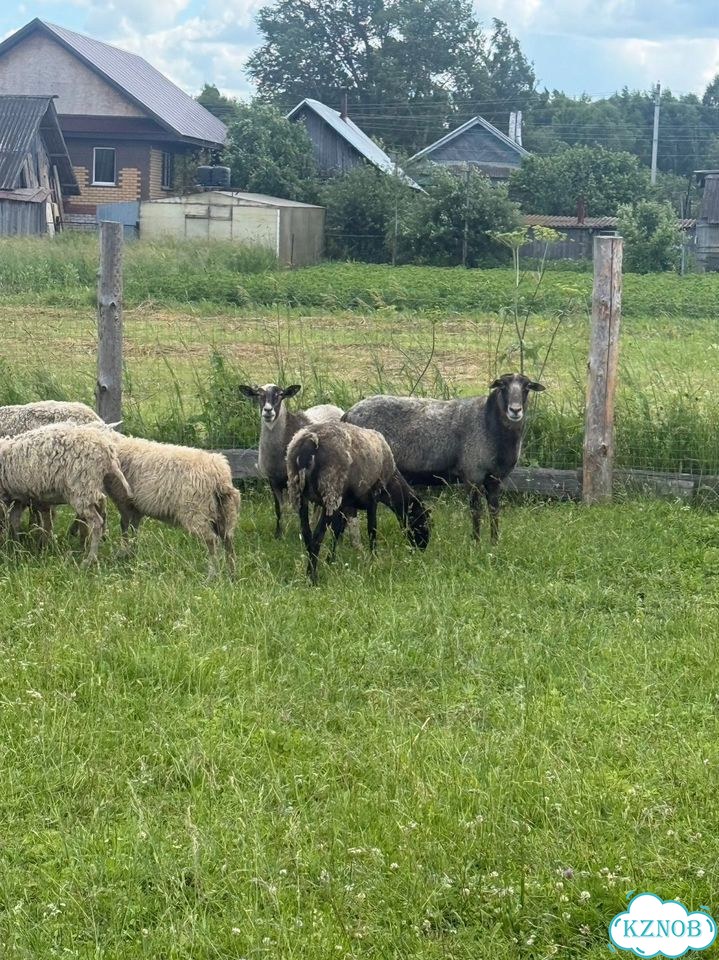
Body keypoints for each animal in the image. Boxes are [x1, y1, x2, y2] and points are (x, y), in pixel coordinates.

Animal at [0, 422, 132, 566]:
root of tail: (107, 451)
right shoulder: (19, 498)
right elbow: (15, 521)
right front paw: (17, 546)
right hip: (90, 487)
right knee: (102, 505)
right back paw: (99, 539)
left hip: (81, 487)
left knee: (96, 522)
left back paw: (89, 558)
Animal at [110, 436, 241, 579]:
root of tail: (220, 478)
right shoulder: (136, 508)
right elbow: (134, 529)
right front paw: (132, 554)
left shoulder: (124, 502)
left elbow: (124, 527)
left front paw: (124, 553)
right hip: (225, 513)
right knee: (228, 541)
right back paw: (232, 574)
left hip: (196, 512)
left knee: (213, 541)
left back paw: (212, 575)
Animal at [238, 383, 361, 548]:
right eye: (258, 395)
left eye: (280, 395)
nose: (268, 410)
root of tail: (332, 406)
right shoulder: (273, 480)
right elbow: (280, 508)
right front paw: (279, 534)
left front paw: (300, 535)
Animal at [286, 419, 431, 584]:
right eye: (422, 519)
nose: (422, 548)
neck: (391, 483)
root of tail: (309, 444)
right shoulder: (373, 495)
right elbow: (372, 528)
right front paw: (374, 558)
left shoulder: (345, 504)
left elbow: (337, 531)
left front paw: (331, 560)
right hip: (330, 491)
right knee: (317, 538)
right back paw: (313, 579)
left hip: (300, 494)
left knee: (306, 535)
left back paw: (309, 572)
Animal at [343, 372, 545, 544]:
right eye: (502, 386)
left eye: (527, 387)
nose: (515, 410)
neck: (489, 424)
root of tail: (348, 414)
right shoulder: (472, 476)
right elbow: (476, 512)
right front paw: (476, 545)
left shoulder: (495, 480)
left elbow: (494, 512)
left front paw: (494, 544)